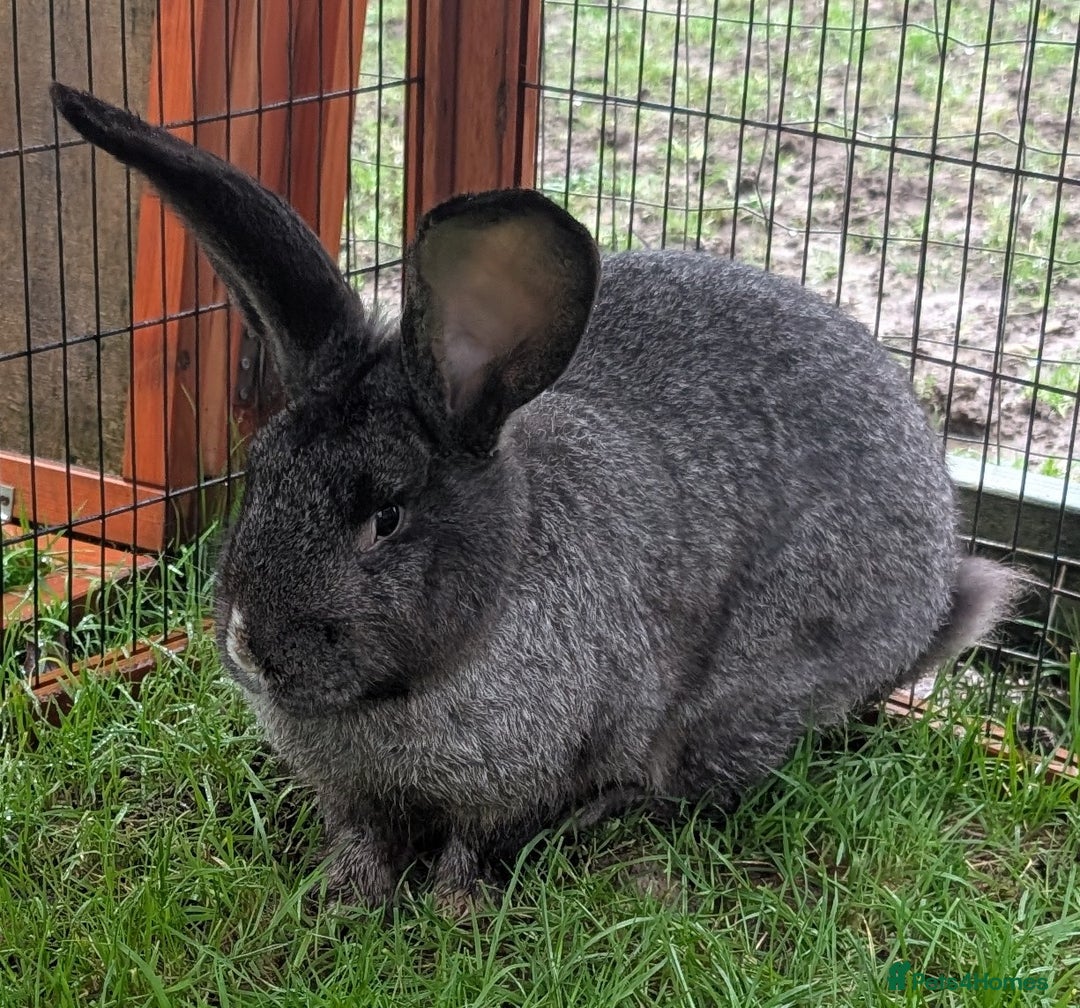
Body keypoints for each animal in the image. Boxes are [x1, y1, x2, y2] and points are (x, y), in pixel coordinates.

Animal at [51, 82, 1015, 908]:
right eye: (262, 473)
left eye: (386, 517)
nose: (252, 650)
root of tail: (939, 591)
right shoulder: (356, 794)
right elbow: (364, 837)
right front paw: (342, 900)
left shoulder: (531, 775)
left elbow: (479, 844)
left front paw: (451, 912)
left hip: (758, 692)